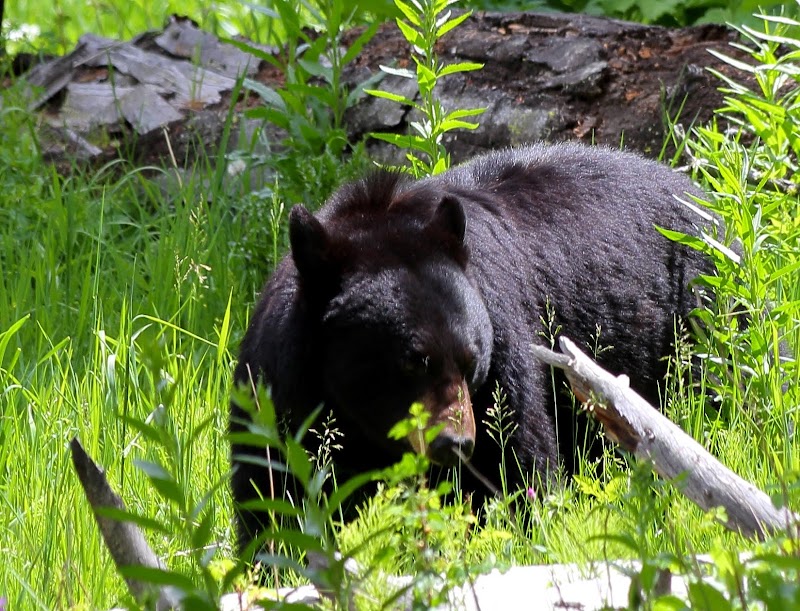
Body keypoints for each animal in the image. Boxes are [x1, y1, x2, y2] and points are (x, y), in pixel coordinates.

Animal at [230, 141, 711, 553]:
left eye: (471, 359)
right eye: (411, 362)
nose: (453, 443)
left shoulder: (503, 340)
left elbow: (514, 459)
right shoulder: (282, 385)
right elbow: (272, 484)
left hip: (693, 316)